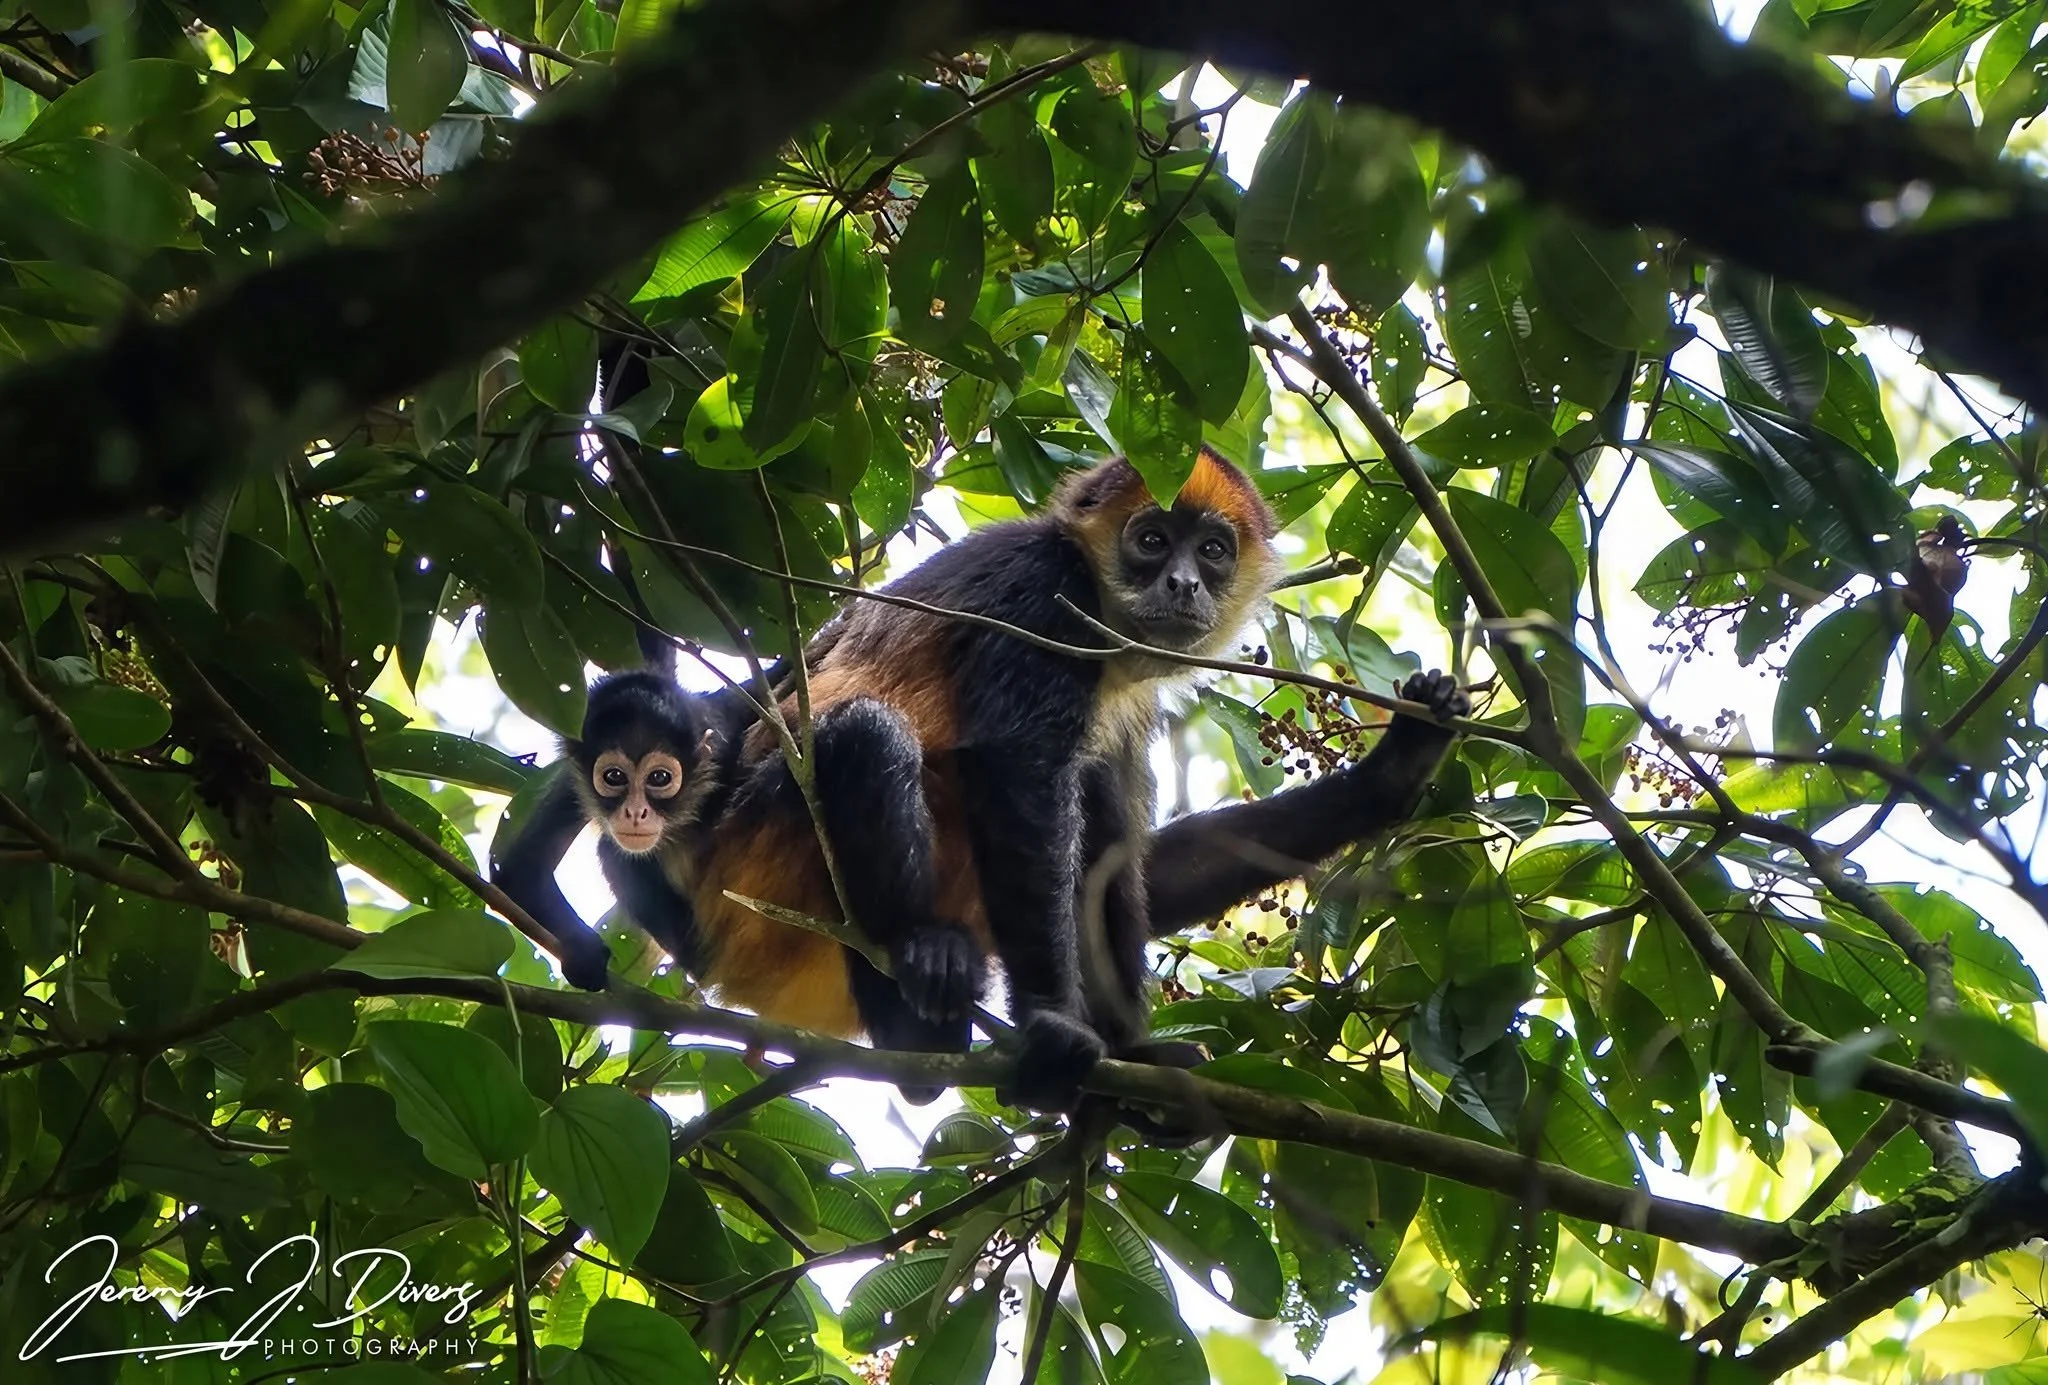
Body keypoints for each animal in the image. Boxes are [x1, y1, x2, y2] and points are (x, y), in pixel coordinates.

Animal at [494, 447, 1470, 1113]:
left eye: (1214, 550)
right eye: (1152, 540)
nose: (1185, 584)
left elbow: (1123, 858)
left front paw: (1394, 772)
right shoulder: (1044, 598)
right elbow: (1017, 774)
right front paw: (1051, 1029)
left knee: (1094, 810)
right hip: (753, 871)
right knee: (866, 736)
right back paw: (920, 1005)